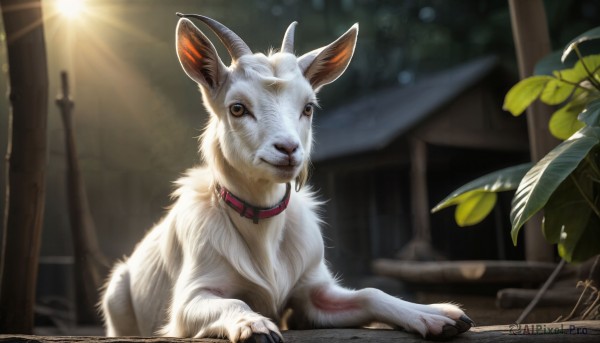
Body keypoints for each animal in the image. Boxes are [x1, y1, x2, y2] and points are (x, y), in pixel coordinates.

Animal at [101, 14, 472, 343]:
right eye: (237, 108)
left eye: (308, 107)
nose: (289, 149)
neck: (262, 230)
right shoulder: (190, 297)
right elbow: (231, 301)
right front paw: (254, 326)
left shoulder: (311, 293)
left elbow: (369, 293)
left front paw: (437, 315)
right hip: (115, 297)